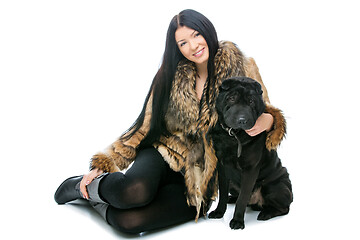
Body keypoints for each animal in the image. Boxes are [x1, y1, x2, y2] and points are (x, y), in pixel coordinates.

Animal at [208, 76, 292, 229]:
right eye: (231, 98)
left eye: (252, 101)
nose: (242, 120)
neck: (234, 136)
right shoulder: (222, 168)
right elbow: (222, 194)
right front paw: (219, 212)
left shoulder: (250, 169)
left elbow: (242, 198)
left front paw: (237, 221)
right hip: (234, 185)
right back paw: (232, 198)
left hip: (275, 187)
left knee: (284, 208)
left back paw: (266, 213)